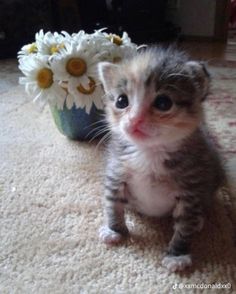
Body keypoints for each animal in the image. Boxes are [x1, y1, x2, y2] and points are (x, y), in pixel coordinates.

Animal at [97, 47, 224, 272]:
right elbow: (113, 203)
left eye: (163, 103)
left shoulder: (191, 188)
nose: (135, 120)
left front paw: (177, 254)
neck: (149, 152)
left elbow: (185, 225)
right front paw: (115, 231)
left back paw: (200, 220)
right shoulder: (116, 170)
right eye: (121, 101)